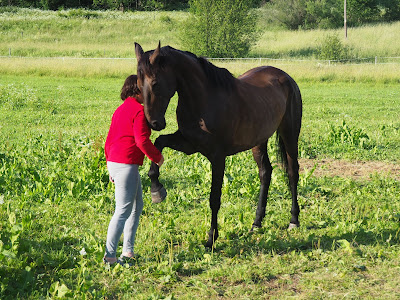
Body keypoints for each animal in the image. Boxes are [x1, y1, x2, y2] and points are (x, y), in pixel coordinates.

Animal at [135, 42, 304, 248]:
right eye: (137, 84)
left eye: (155, 83)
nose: (154, 123)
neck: (204, 100)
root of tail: (285, 77)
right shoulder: (189, 144)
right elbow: (159, 143)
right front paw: (156, 189)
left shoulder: (217, 157)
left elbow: (214, 198)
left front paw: (211, 238)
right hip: (258, 141)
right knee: (265, 173)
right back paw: (257, 223)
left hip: (290, 134)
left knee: (292, 172)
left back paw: (294, 220)